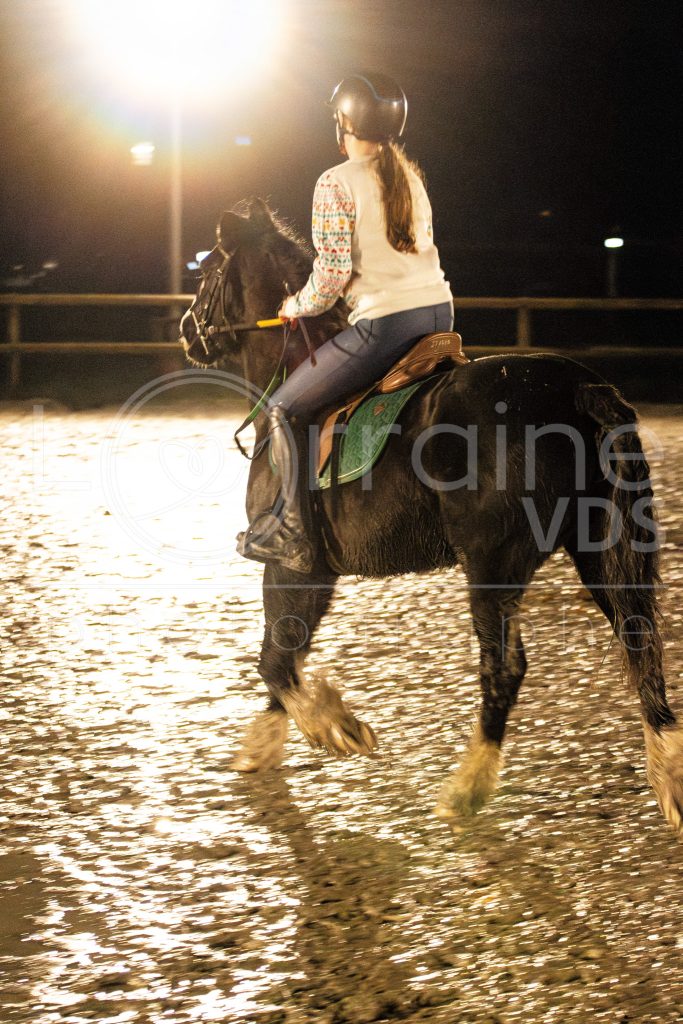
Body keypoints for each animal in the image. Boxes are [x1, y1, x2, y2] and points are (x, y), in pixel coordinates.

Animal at [180, 197, 682, 838]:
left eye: (207, 272)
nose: (187, 330)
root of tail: (576, 388)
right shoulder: (317, 571)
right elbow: (287, 650)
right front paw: (264, 746)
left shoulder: (292, 561)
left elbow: (275, 657)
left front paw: (335, 727)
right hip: (598, 550)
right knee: (640, 639)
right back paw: (670, 780)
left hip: (492, 564)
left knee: (505, 668)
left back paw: (466, 788)